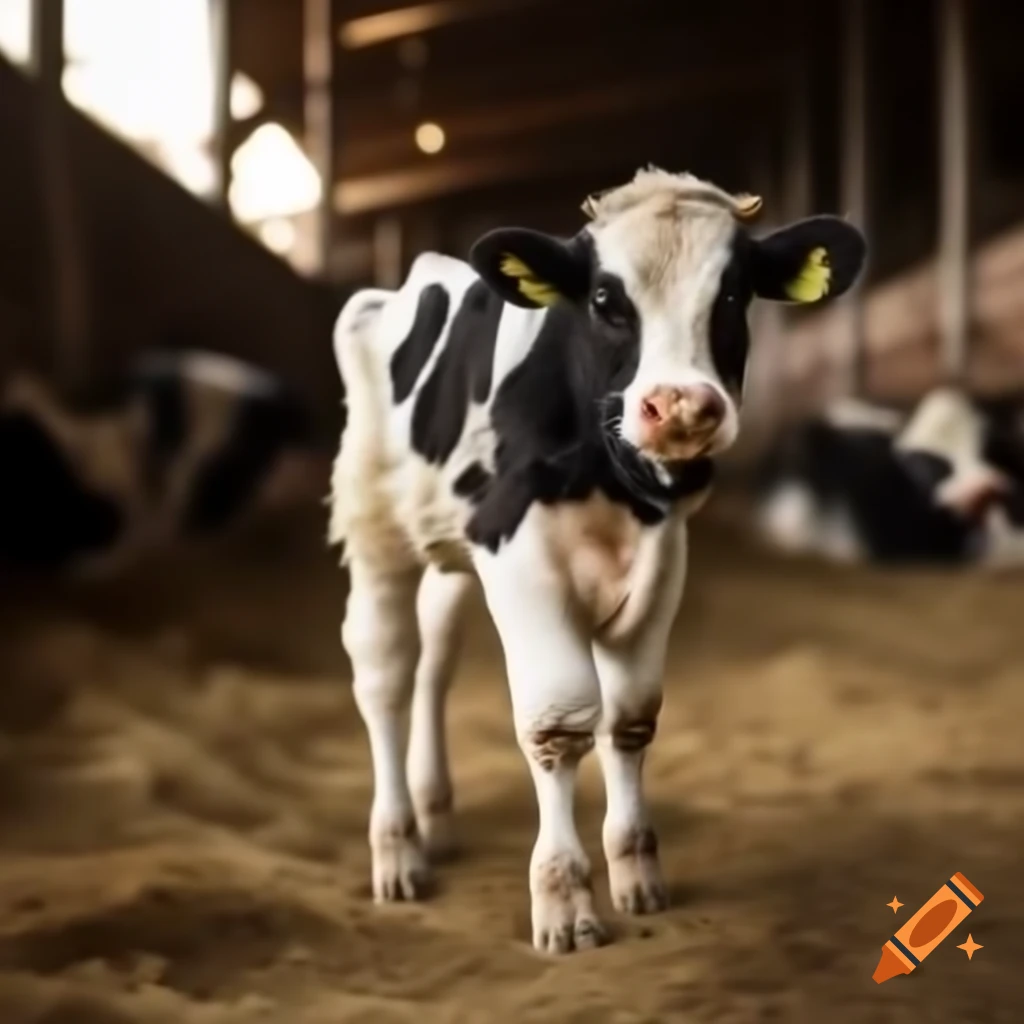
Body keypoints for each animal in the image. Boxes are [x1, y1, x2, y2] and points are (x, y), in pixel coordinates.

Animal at [328, 167, 867, 953]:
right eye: (607, 300)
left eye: (732, 294)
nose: (680, 407)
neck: (609, 479)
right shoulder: (515, 551)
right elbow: (557, 723)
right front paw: (565, 901)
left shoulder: (663, 555)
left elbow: (631, 717)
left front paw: (637, 875)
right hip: (375, 527)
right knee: (386, 674)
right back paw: (398, 853)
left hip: (449, 546)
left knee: (435, 660)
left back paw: (435, 819)